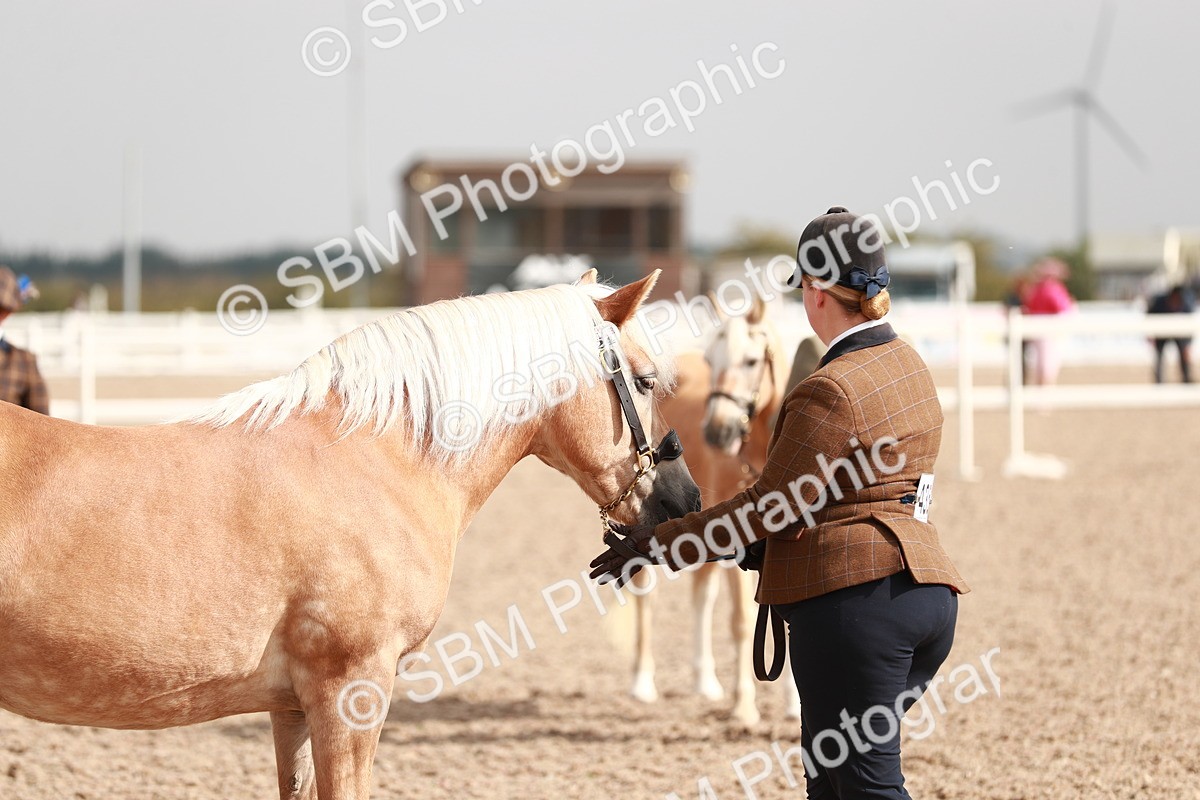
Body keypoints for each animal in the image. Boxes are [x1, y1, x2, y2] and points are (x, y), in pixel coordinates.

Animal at [629, 295, 802, 725]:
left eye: (752, 361)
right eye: (711, 359)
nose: (716, 432)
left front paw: (794, 706)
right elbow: (740, 622)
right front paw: (743, 707)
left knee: (701, 594)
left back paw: (704, 681)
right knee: (646, 595)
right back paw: (642, 683)